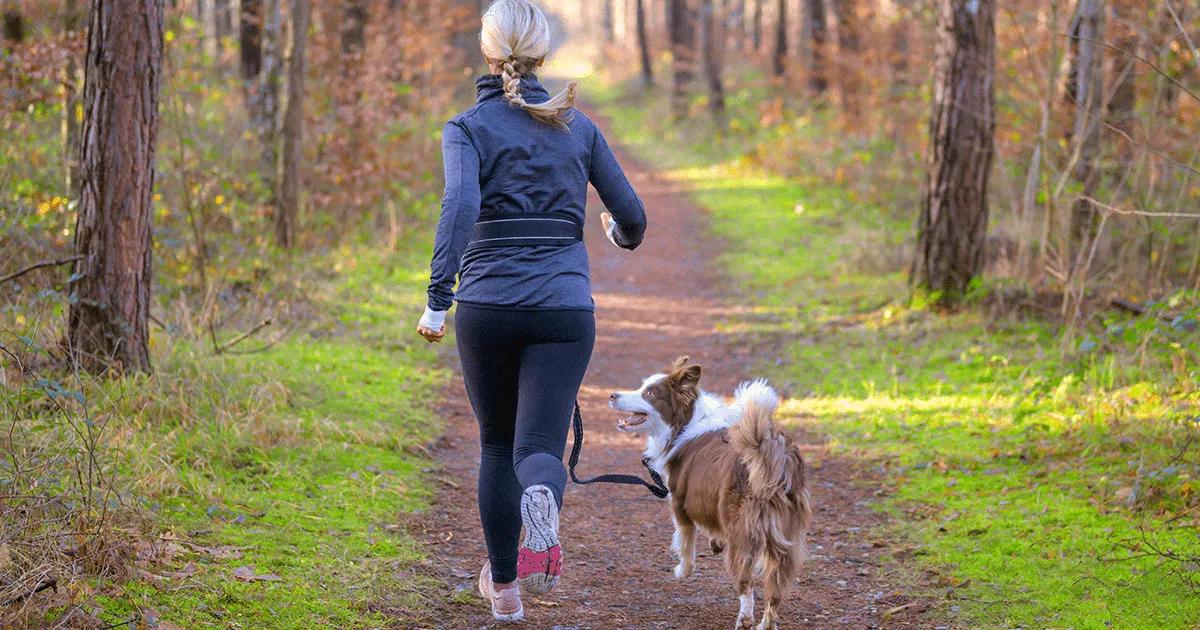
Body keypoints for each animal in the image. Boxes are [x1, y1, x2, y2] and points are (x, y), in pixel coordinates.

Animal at [609, 355, 816, 628]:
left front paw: (682, 571)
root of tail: (775, 456)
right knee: (775, 590)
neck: (685, 422)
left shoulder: (680, 504)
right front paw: (715, 542)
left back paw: (744, 620)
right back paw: (765, 623)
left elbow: (685, 544)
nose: (613, 395)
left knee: (746, 584)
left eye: (650, 392)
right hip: (786, 539)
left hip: (743, 532)